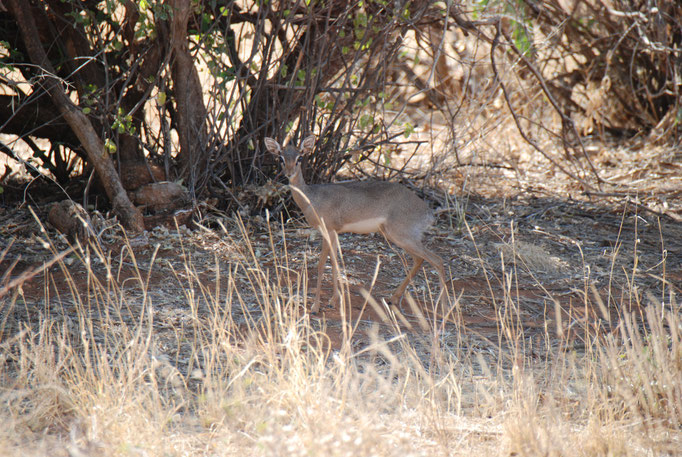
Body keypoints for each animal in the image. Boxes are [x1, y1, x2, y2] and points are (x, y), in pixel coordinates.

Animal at [264, 134, 446, 314]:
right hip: (397, 237)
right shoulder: (333, 233)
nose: (288, 173)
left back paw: (443, 308)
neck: (311, 198)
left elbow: (322, 264)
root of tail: (428, 213)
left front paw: (315, 307)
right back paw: (393, 299)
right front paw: (333, 301)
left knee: (437, 259)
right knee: (419, 259)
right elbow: (335, 262)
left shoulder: (328, 230)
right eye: (280, 157)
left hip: (403, 237)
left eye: (300, 157)